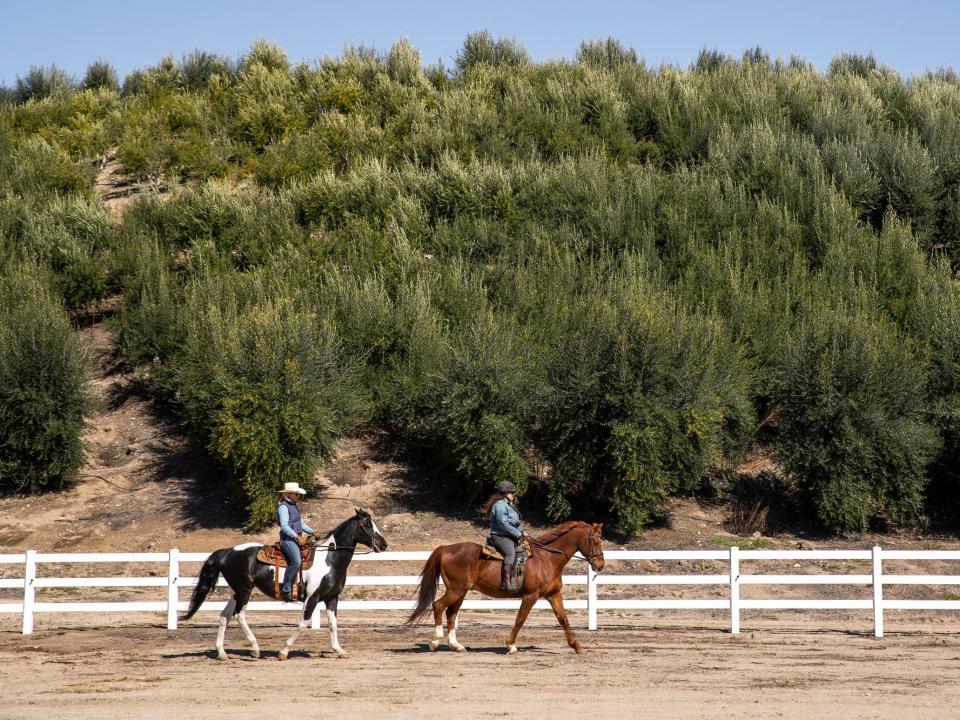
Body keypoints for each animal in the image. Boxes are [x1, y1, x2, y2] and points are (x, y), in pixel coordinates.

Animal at [184, 506, 386, 660]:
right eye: (367, 524)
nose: (384, 544)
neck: (330, 559)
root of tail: (228, 551)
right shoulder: (312, 598)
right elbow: (303, 623)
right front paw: (284, 651)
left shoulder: (332, 598)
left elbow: (333, 624)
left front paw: (339, 650)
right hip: (244, 590)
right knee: (239, 615)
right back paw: (255, 649)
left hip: (236, 592)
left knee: (224, 615)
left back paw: (222, 652)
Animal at [406, 520, 604, 656]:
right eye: (594, 541)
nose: (600, 565)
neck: (546, 558)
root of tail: (446, 548)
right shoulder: (530, 596)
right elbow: (520, 619)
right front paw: (510, 645)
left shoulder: (554, 594)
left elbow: (563, 619)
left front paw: (577, 646)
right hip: (455, 590)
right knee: (438, 606)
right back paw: (435, 641)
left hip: (460, 592)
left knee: (451, 613)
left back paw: (457, 645)